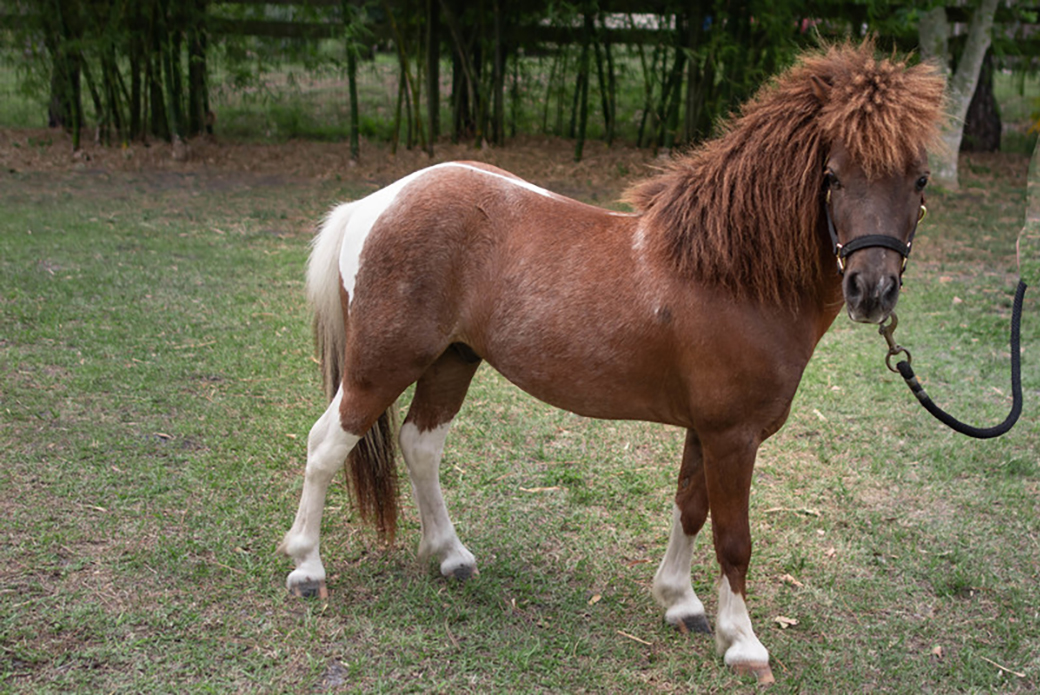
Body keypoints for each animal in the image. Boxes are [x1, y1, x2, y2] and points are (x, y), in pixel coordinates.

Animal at [280, 40, 948, 682]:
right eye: (833, 176)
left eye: (919, 181)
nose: (871, 290)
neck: (732, 277)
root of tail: (376, 202)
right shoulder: (734, 435)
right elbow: (734, 538)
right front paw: (744, 644)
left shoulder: (705, 430)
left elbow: (690, 508)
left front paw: (681, 603)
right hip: (381, 364)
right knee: (326, 444)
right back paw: (307, 568)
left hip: (451, 360)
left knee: (419, 445)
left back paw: (451, 556)